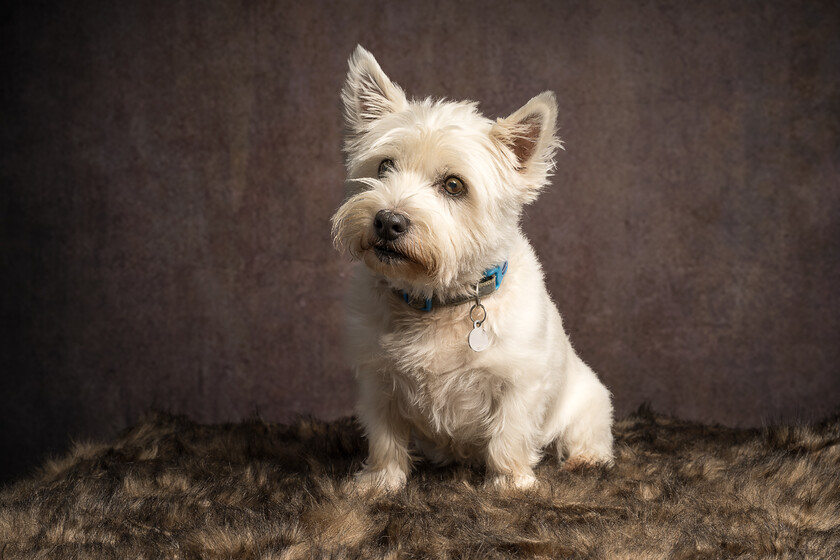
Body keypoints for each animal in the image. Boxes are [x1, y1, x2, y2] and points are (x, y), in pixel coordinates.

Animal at [332, 44, 612, 490]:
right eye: (384, 166)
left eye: (453, 185)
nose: (388, 221)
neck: (436, 300)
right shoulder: (377, 381)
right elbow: (385, 437)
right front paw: (379, 483)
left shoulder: (519, 383)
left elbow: (509, 436)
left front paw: (510, 485)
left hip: (590, 400)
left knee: (586, 434)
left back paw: (585, 461)